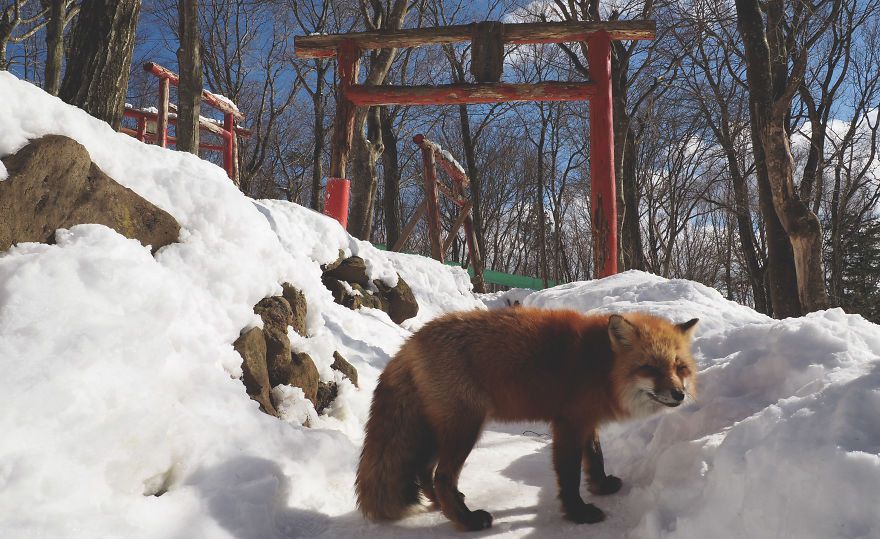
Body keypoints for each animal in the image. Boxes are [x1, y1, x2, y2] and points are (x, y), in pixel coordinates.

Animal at [354, 308, 696, 532]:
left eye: (679, 367)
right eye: (650, 367)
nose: (679, 395)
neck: (601, 366)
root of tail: (410, 343)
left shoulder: (586, 421)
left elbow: (595, 458)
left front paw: (600, 486)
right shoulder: (568, 424)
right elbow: (569, 475)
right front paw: (578, 513)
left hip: (443, 431)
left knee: (425, 471)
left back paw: (443, 506)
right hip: (466, 426)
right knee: (442, 476)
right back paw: (466, 520)